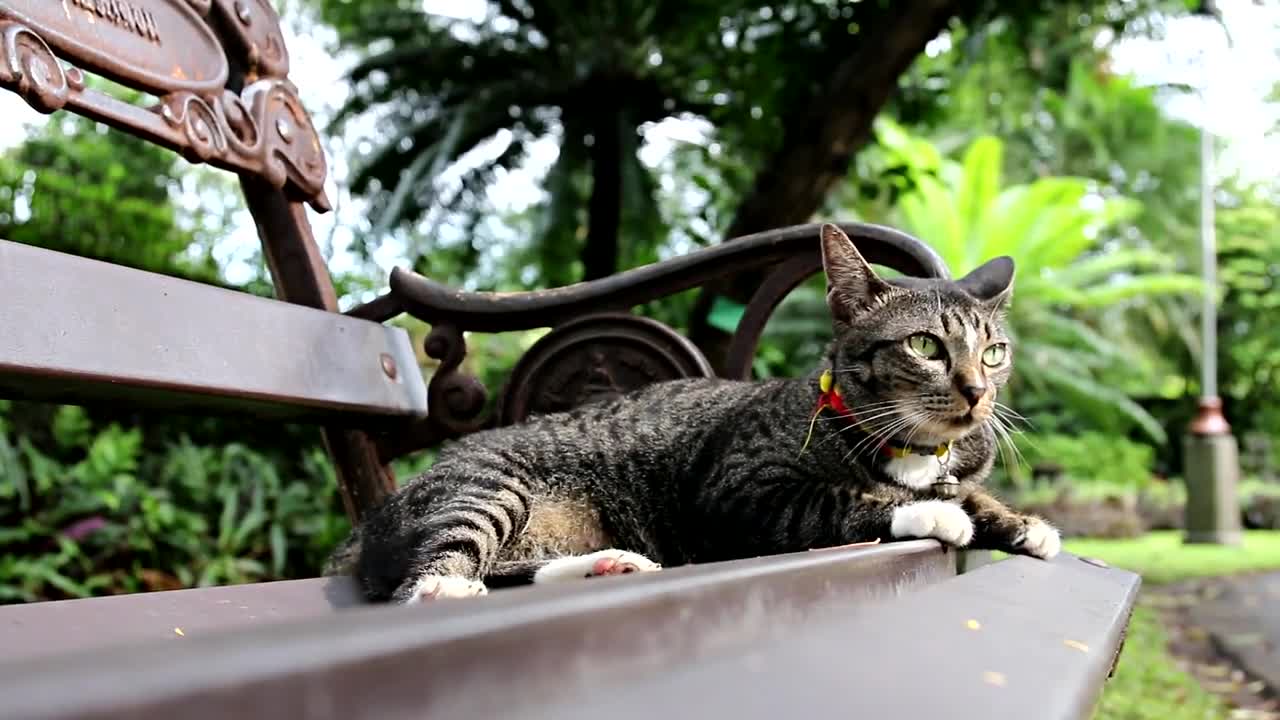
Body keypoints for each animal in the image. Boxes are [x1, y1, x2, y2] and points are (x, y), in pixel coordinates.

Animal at [332, 224, 1059, 599]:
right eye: (926, 345)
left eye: (994, 352)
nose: (979, 391)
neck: (913, 448)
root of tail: (368, 528)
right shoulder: (738, 493)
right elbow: (840, 499)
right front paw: (929, 511)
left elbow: (974, 493)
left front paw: (1021, 523)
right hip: (489, 487)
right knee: (428, 574)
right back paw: (447, 588)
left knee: (511, 568)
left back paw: (607, 564)